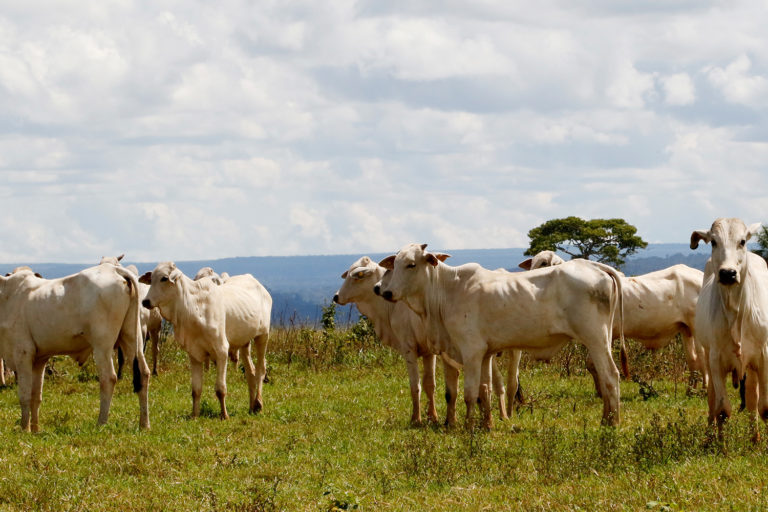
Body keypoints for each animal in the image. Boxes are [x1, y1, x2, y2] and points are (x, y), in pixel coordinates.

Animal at [0, 262, 151, 430]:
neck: (6, 296)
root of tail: (114, 269)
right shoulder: (39, 359)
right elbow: (36, 396)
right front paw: (35, 429)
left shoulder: (23, 353)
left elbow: (24, 395)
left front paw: (24, 429)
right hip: (132, 338)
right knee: (143, 374)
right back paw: (144, 424)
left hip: (102, 346)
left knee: (109, 378)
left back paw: (101, 423)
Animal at [140, 262, 272, 418]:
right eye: (151, 279)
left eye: (164, 278)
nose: (145, 301)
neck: (193, 308)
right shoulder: (194, 354)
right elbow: (196, 389)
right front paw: (194, 415)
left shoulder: (222, 351)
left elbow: (220, 389)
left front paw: (224, 415)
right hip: (244, 342)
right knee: (250, 372)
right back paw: (252, 407)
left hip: (263, 336)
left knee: (260, 370)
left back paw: (259, 404)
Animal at [332, 258, 508, 426]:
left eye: (358, 276)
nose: (336, 296)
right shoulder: (429, 352)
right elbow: (429, 384)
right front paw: (433, 417)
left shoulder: (408, 348)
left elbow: (415, 385)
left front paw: (416, 418)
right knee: (493, 383)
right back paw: (499, 417)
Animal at [378, 243, 624, 428]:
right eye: (395, 264)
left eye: (411, 264)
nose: (387, 292)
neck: (447, 291)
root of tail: (596, 266)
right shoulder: (486, 354)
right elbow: (485, 389)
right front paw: (487, 424)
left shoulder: (471, 351)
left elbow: (470, 392)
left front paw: (469, 426)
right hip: (602, 340)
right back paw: (606, 418)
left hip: (595, 339)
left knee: (611, 375)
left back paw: (612, 422)